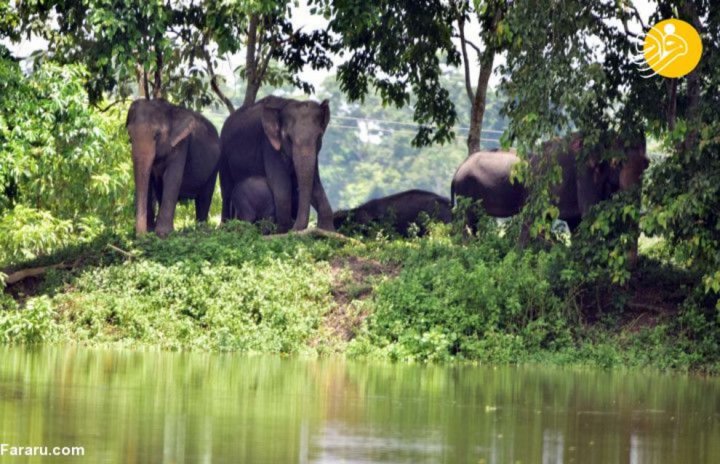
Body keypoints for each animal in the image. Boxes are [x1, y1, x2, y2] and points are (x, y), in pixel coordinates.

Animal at [126, 98, 221, 236]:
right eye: (129, 134)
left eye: (157, 135)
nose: (141, 235)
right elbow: (150, 180)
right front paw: (152, 231)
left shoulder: (181, 143)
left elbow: (172, 178)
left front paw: (163, 234)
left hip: (215, 166)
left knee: (205, 196)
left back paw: (201, 229)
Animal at [219, 95, 334, 232]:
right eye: (288, 138)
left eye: (319, 137)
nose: (295, 228)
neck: (287, 103)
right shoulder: (268, 145)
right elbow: (282, 187)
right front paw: (284, 230)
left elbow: (315, 184)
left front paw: (327, 230)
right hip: (224, 156)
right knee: (226, 191)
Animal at [450, 130, 648, 232]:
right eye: (618, 163)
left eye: (647, 165)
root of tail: (458, 169)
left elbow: (576, 220)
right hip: (466, 191)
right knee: (468, 221)